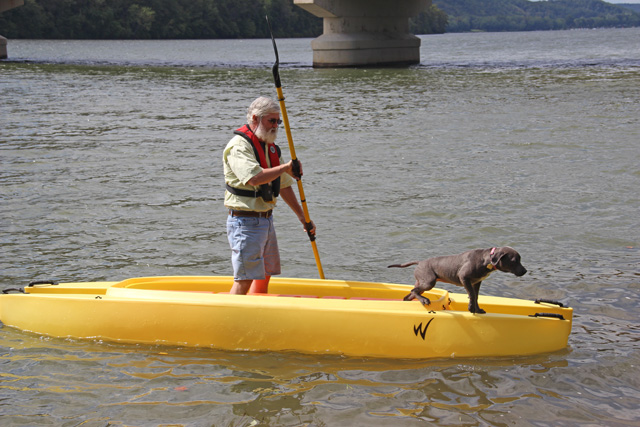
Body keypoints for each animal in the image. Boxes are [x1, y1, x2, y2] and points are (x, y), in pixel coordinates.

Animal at [388, 247, 528, 314]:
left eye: (520, 259)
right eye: (514, 260)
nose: (525, 271)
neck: (487, 260)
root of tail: (420, 262)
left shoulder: (477, 282)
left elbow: (476, 297)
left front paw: (478, 310)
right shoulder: (464, 277)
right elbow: (472, 295)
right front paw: (471, 308)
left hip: (422, 282)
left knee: (409, 294)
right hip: (429, 282)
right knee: (413, 290)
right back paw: (424, 300)